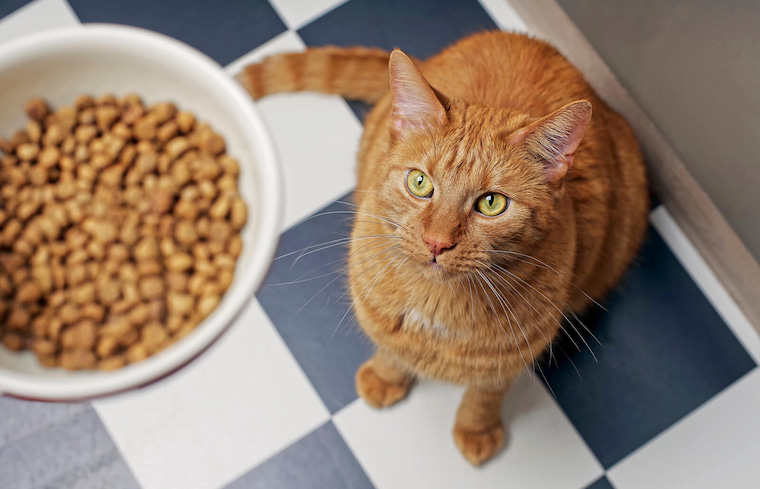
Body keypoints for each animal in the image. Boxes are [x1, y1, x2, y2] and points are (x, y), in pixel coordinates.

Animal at [238, 31, 648, 466]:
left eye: (491, 204)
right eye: (419, 183)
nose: (437, 242)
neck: (436, 306)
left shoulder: (512, 356)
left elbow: (485, 395)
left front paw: (476, 430)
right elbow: (391, 350)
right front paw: (385, 377)